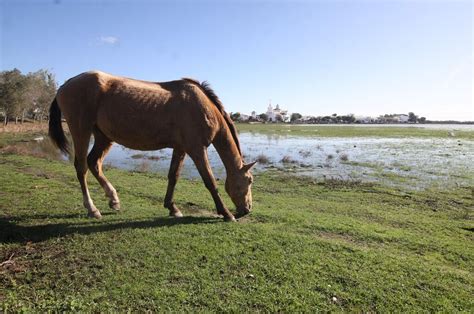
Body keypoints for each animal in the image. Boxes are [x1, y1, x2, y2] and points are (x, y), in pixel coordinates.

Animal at [48, 70, 256, 221]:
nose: (247, 209)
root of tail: (65, 85)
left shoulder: (180, 148)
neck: (202, 106)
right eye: (250, 180)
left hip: (103, 137)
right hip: (81, 131)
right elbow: (210, 181)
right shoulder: (196, 149)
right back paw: (92, 209)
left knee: (94, 163)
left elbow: (173, 176)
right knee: (81, 167)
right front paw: (226, 213)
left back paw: (114, 199)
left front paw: (172, 208)